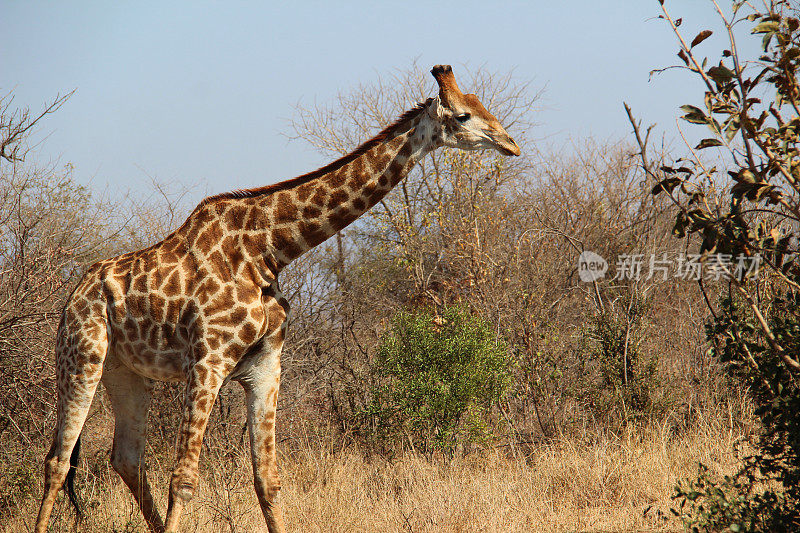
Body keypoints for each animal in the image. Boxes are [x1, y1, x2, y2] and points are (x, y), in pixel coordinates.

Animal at [32, 64, 520, 528]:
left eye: (482, 104)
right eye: (464, 115)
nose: (511, 144)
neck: (270, 250)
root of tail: (73, 294)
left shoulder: (266, 365)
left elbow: (267, 479)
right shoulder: (208, 361)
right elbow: (185, 478)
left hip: (128, 371)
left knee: (127, 459)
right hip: (82, 355)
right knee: (58, 460)